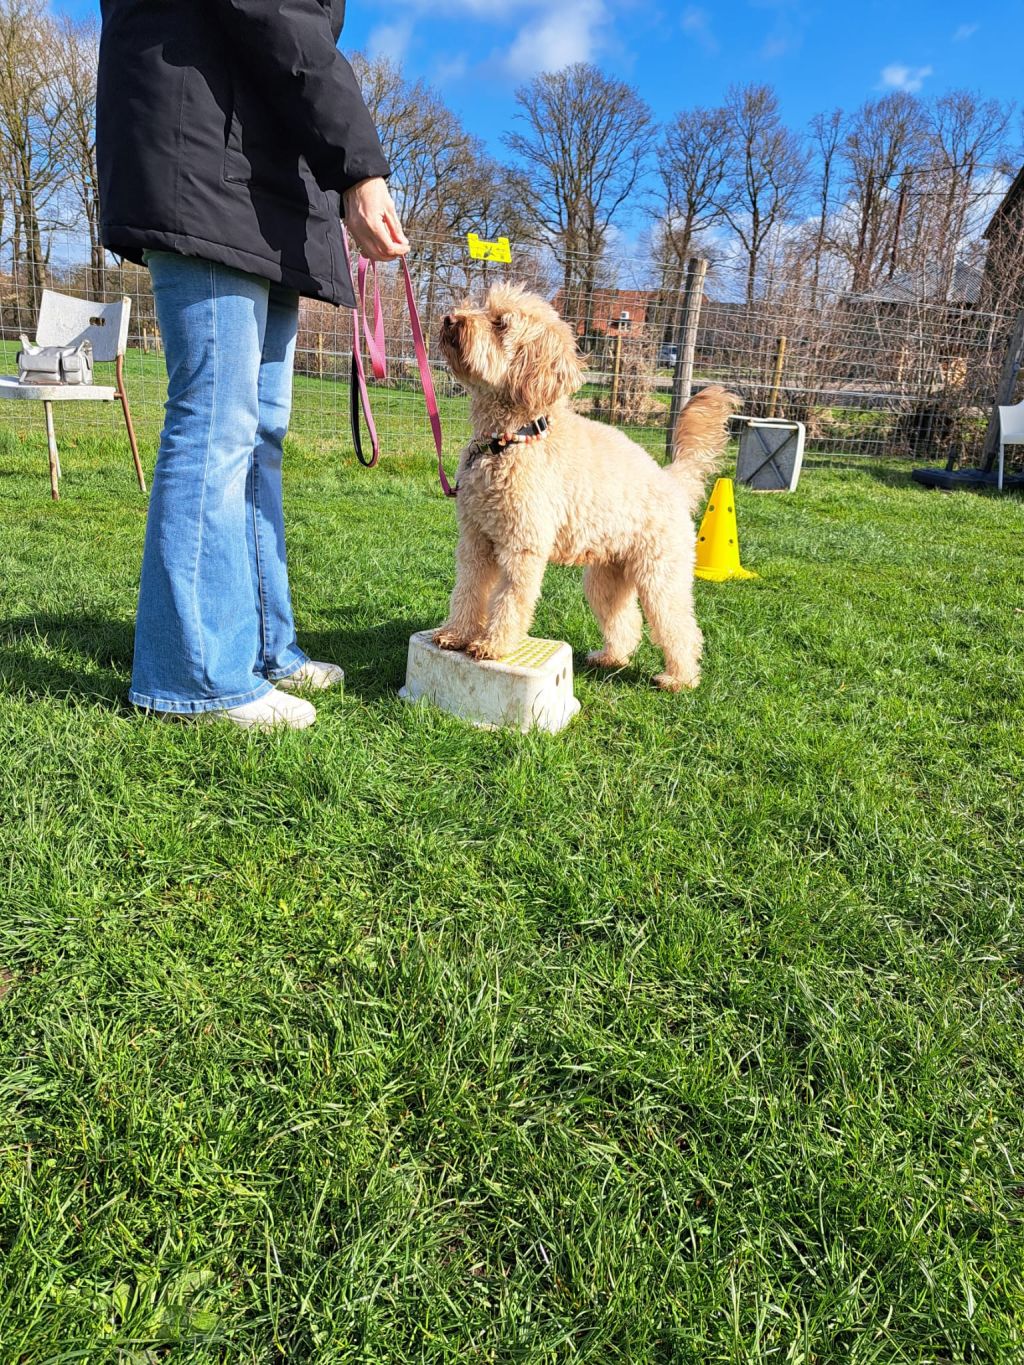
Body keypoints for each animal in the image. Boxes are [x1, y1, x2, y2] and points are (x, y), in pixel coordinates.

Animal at [435, 282, 738, 690]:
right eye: (482, 307)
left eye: (501, 323)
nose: (450, 318)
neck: (511, 439)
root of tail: (672, 482)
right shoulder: (475, 540)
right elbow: (467, 589)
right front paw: (456, 633)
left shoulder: (522, 545)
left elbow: (511, 598)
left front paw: (493, 645)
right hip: (607, 576)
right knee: (626, 620)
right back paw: (611, 657)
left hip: (660, 573)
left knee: (680, 626)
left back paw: (680, 678)